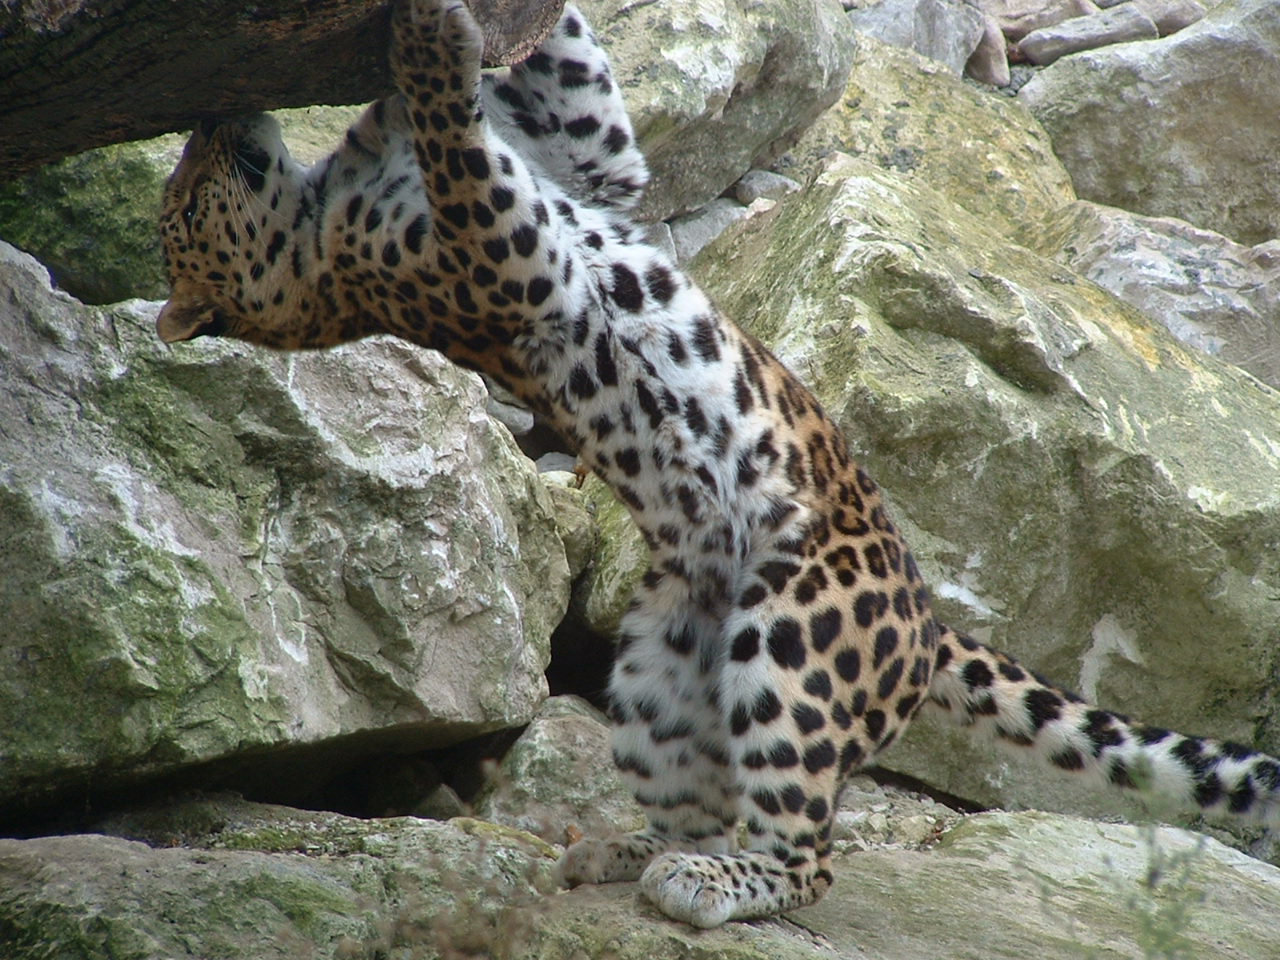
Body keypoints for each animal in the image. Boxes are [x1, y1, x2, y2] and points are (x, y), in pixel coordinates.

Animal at [156, 0, 1280, 929]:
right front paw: (431, 46)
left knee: (784, 833)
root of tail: (925, 619)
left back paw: (649, 860)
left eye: (179, 183)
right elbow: (450, 131)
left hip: (754, 640)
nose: (214, 120)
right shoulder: (498, 249)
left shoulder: (590, 167)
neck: (314, 247)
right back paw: (665, 865)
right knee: (790, 847)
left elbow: (566, 86)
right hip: (711, 660)